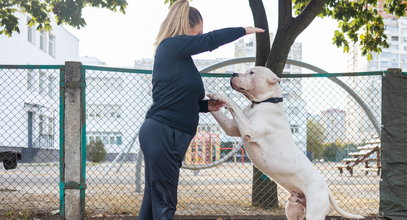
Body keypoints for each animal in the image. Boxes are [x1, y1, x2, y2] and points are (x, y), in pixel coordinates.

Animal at [209, 66, 364, 220]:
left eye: (252, 73)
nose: (233, 73)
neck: (266, 102)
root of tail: (326, 189)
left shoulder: (250, 130)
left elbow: (234, 105)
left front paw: (220, 96)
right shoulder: (231, 127)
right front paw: (210, 99)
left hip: (314, 212)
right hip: (292, 209)